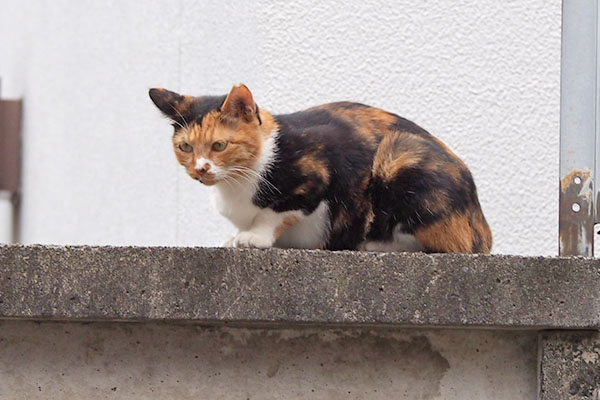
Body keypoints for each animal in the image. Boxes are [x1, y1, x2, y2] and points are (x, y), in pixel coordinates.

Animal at [150, 84, 492, 253]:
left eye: (219, 145)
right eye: (185, 148)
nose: (200, 169)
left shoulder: (319, 173)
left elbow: (275, 213)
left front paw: (254, 237)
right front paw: (238, 235)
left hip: (401, 156)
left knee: (450, 246)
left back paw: (372, 244)